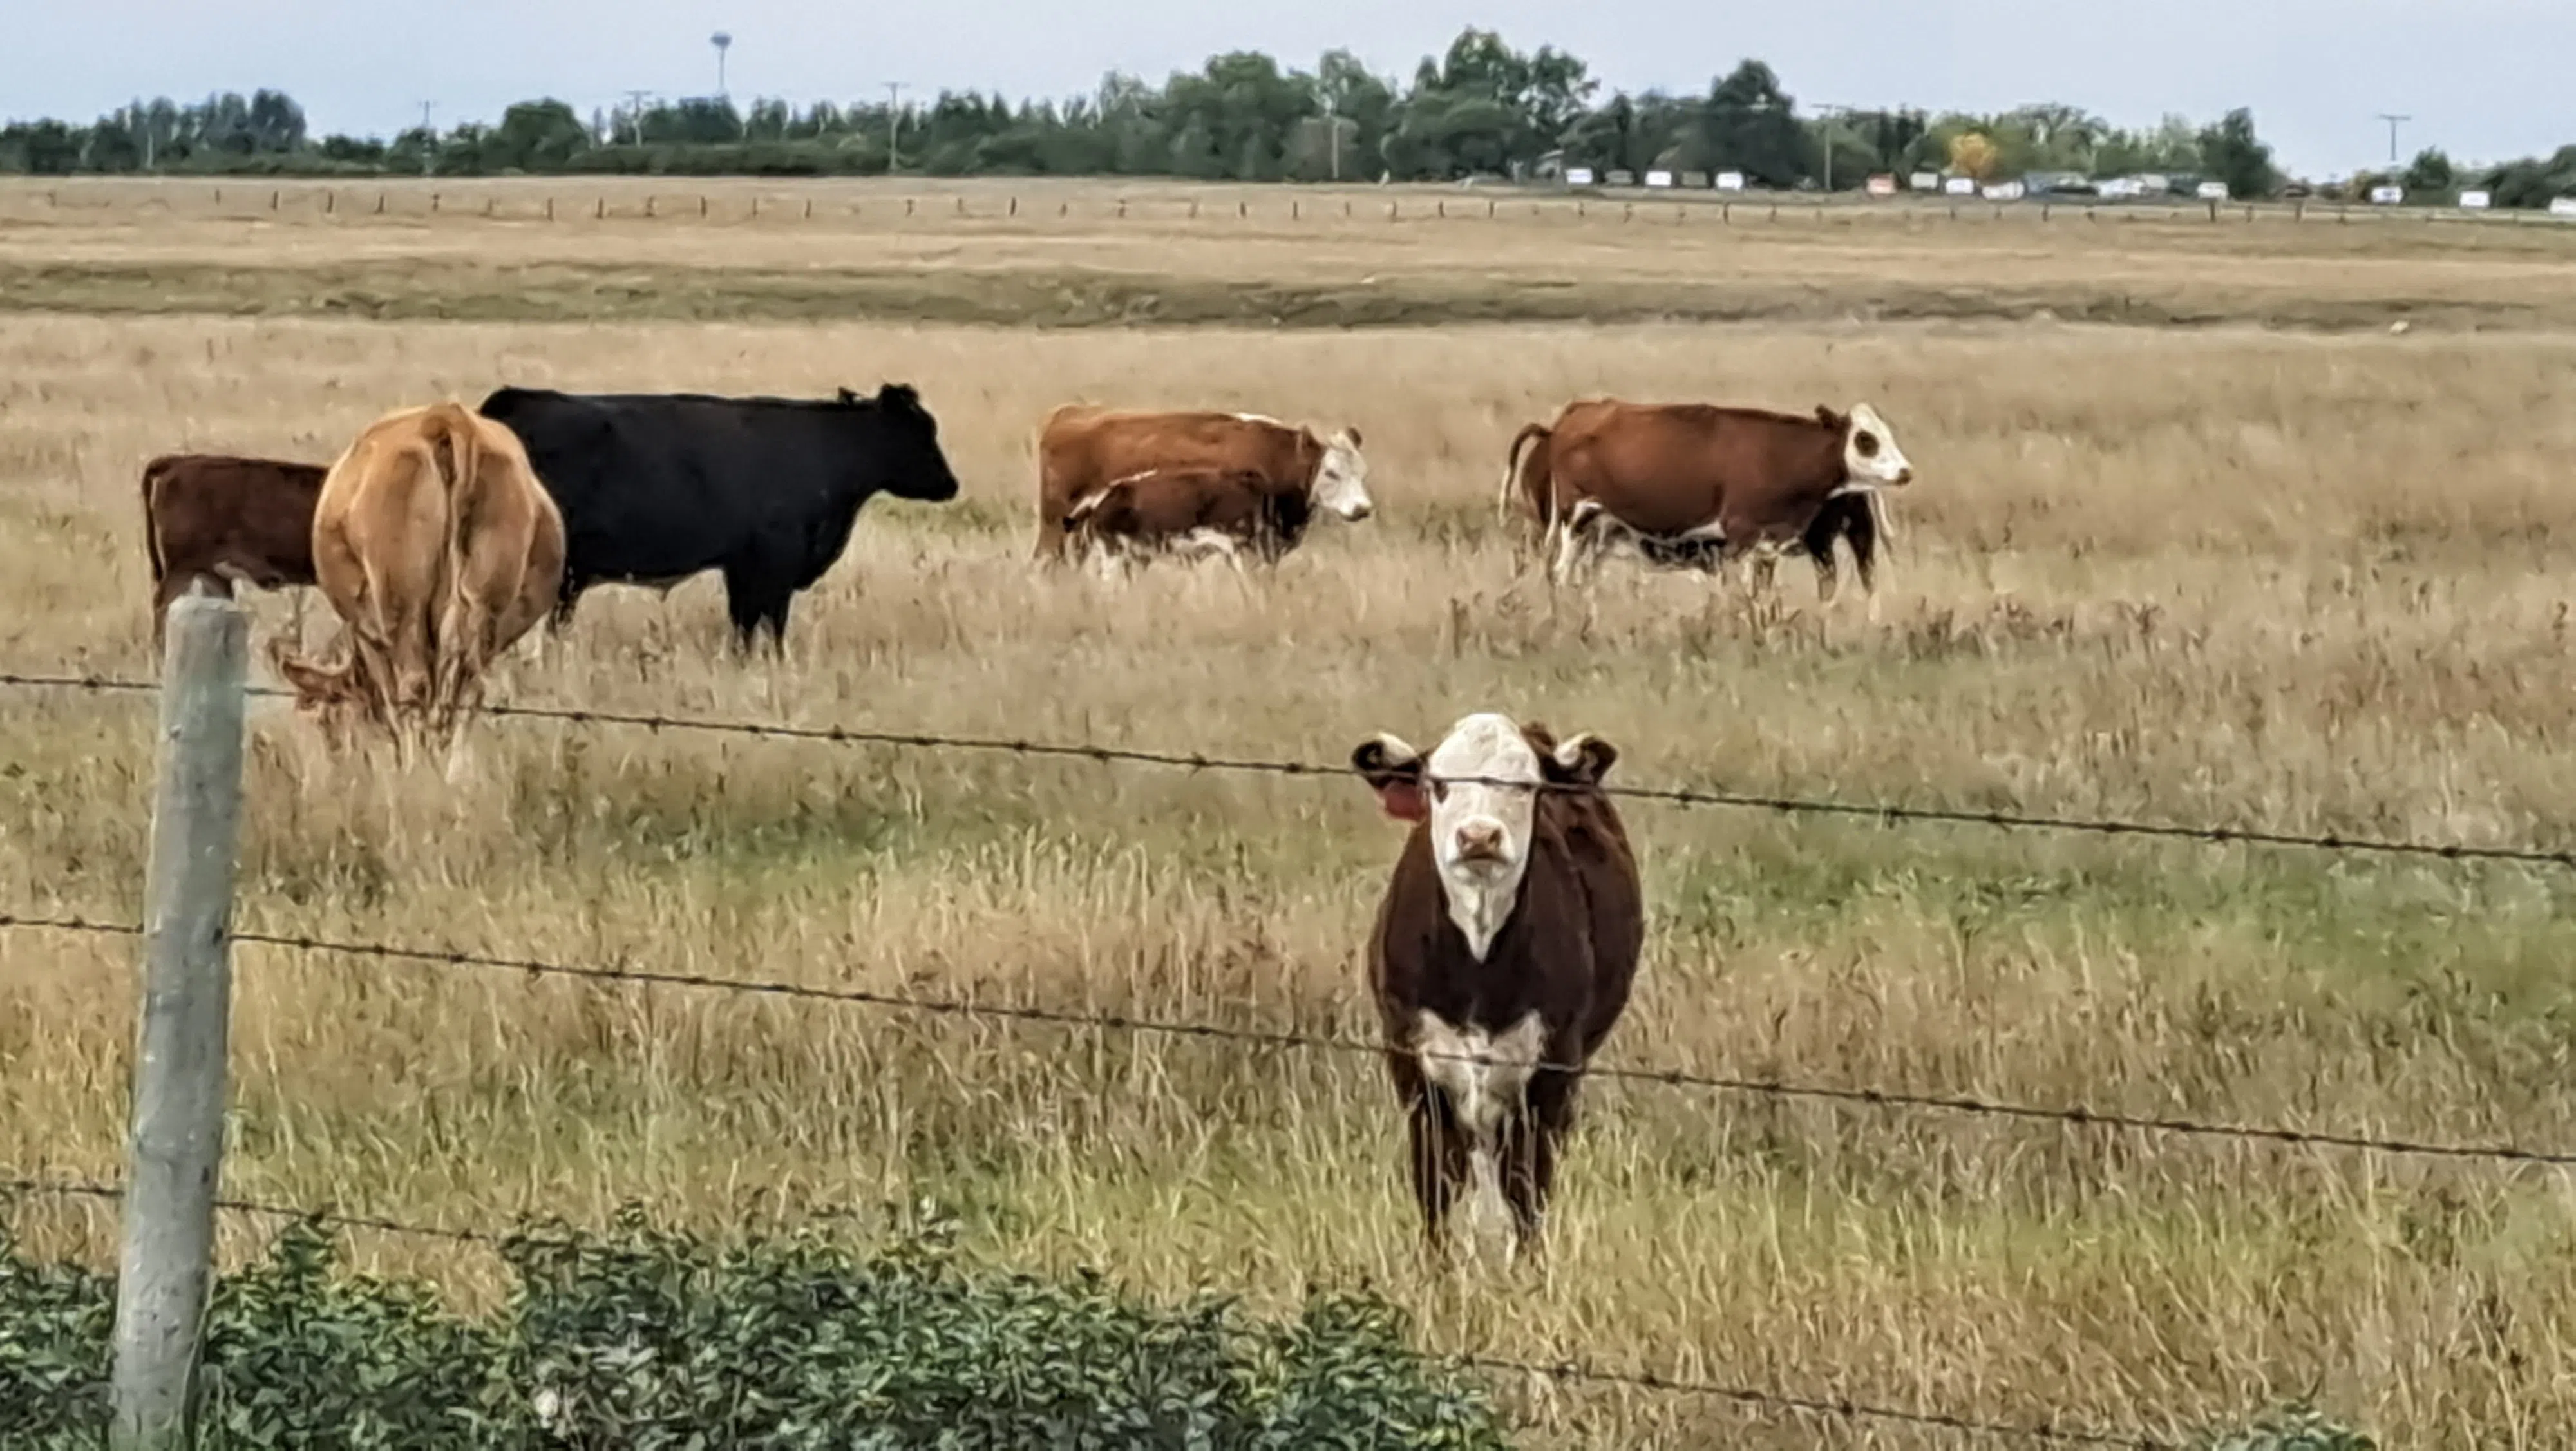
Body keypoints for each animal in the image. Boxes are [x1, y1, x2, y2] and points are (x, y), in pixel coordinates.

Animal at [270, 403, 565, 766]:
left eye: (326, 719)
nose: (337, 757)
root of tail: (447, 419)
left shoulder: (370, 637)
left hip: (403, 609)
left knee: (415, 689)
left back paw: (417, 768)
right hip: (482, 608)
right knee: (466, 690)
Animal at [474, 383, 961, 654]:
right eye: (921, 432)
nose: (951, 484)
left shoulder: (742, 568)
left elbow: (744, 627)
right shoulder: (773, 565)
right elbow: (769, 627)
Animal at [1350, 711, 1645, 1266]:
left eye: (1526, 785)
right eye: (1439, 784)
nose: (1479, 836)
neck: (1478, 963)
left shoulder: (1551, 1072)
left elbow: (1527, 1187)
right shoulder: (1414, 1067)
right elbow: (1436, 1185)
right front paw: (1438, 1272)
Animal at [1498, 399, 1912, 602]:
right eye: (1865, 439)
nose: (1905, 472)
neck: (1780, 454)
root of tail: (1571, 418)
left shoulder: (1768, 544)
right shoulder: (1742, 537)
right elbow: (1744, 595)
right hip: (1577, 517)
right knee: (1560, 573)